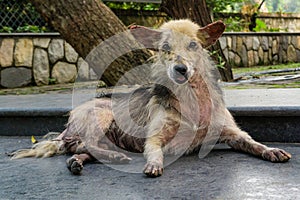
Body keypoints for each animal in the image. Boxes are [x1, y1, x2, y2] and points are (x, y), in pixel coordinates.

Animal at [9, 19, 290, 177]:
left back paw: (79, 162)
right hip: (100, 113)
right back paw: (111, 158)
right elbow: (154, 152)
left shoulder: (233, 134)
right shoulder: (155, 138)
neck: (191, 99)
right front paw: (154, 164)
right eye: (165, 48)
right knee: (87, 142)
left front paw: (271, 150)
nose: (180, 69)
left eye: (193, 45)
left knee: (80, 150)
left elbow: (254, 143)